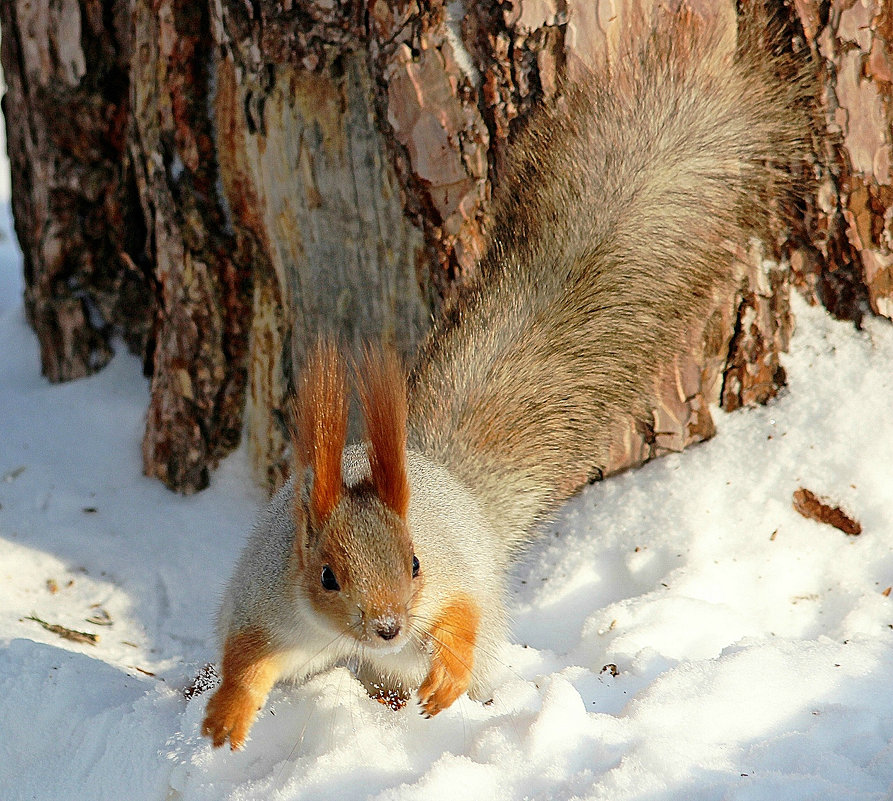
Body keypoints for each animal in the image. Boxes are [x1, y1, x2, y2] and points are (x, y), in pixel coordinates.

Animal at [202, 6, 808, 748]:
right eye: (327, 576)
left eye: (414, 562)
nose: (389, 626)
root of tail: (447, 478)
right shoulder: (267, 601)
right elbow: (245, 657)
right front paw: (223, 717)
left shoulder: (451, 577)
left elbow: (459, 618)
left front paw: (446, 678)